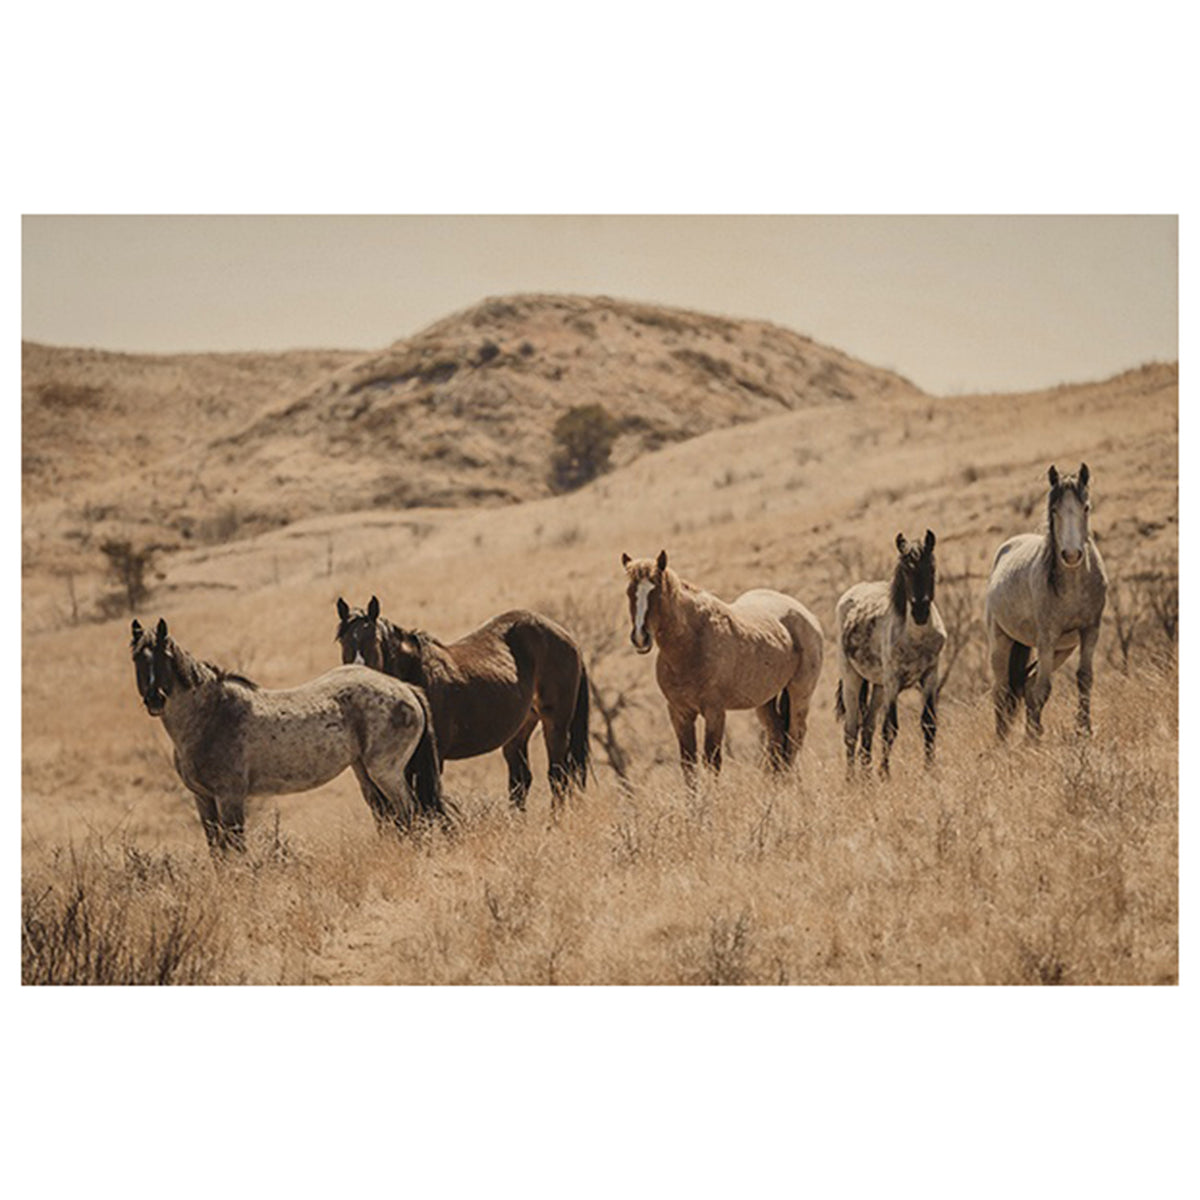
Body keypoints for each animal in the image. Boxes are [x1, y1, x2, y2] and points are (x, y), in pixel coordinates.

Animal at [130, 618, 446, 853]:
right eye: (136, 659)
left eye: (164, 657)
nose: (155, 699)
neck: (211, 716)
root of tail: (405, 689)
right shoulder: (203, 799)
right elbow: (217, 852)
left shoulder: (229, 797)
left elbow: (235, 850)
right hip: (365, 772)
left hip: (386, 772)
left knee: (410, 814)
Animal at [335, 597, 589, 810]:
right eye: (343, 641)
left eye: (374, 640)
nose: (356, 674)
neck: (416, 675)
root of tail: (566, 636)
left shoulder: (431, 758)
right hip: (520, 728)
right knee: (521, 781)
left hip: (555, 723)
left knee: (558, 775)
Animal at [621, 550, 824, 784]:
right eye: (629, 592)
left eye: (657, 593)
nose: (640, 638)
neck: (692, 644)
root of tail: (807, 615)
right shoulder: (679, 712)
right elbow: (688, 764)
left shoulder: (715, 711)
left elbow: (712, 761)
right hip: (765, 701)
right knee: (777, 736)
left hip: (800, 695)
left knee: (794, 739)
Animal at [835, 530, 946, 774]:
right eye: (905, 570)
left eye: (931, 568)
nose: (920, 612)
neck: (916, 638)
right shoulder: (893, 682)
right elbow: (890, 729)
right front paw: (885, 774)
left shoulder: (930, 676)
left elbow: (929, 723)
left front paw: (930, 770)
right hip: (853, 679)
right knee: (851, 731)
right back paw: (851, 778)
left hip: (878, 687)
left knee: (867, 728)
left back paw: (866, 778)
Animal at [985, 463, 1107, 738]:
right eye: (1054, 510)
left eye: (1086, 507)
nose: (1071, 555)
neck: (1073, 585)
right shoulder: (1047, 638)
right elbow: (1044, 690)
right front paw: (1032, 741)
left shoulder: (1090, 631)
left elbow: (1084, 678)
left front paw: (1084, 729)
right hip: (1001, 641)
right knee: (1002, 691)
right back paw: (1002, 740)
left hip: (1062, 648)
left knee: (1027, 686)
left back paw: (1033, 732)